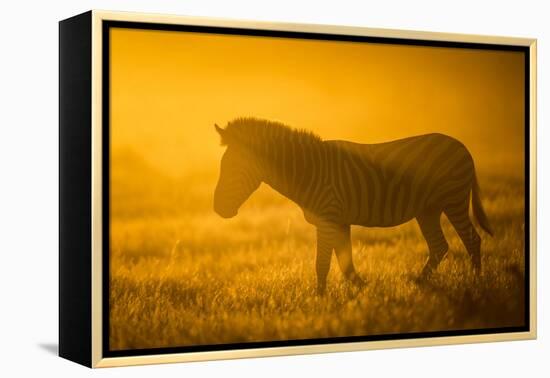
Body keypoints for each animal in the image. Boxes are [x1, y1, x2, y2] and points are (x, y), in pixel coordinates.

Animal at [213, 116, 494, 294]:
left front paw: (320, 299)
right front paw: (362, 290)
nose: (217, 209)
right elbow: (345, 263)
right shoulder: (339, 220)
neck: (309, 171)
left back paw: (476, 283)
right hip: (428, 209)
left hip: (453, 199)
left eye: (231, 168)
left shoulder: (328, 218)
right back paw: (419, 283)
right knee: (439, 246)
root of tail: (462, 146)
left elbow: (323, 263)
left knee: (472, 240)